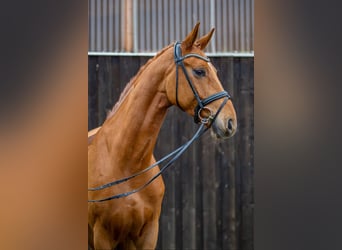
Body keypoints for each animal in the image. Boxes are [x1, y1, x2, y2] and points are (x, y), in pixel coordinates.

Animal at [88, 22, 236, 249]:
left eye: (215, 71)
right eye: (200, 71)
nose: (230, 122)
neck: (126, 164)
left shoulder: (148, 234)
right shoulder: (102, 236)